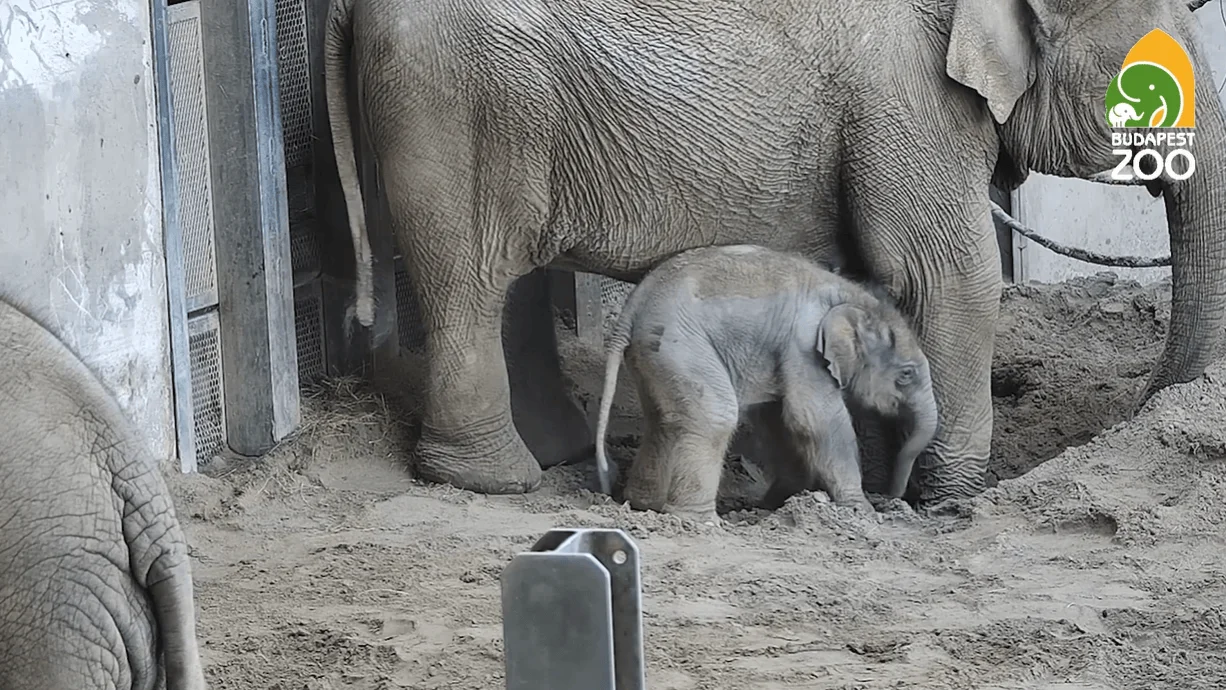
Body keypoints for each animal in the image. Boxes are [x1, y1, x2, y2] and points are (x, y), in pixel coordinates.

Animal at [591, 245, 938, 523]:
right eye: (906, 375)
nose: (894, 501)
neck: (849, 295)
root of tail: (633, 304)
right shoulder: (804, 347)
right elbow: (815, 419)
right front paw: (860, 509)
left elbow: (777, 417)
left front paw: (780, 502)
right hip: (680, 344)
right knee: (714, 415)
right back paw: (700, 522)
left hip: (653, 353)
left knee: (663, 421)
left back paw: (643, 505)